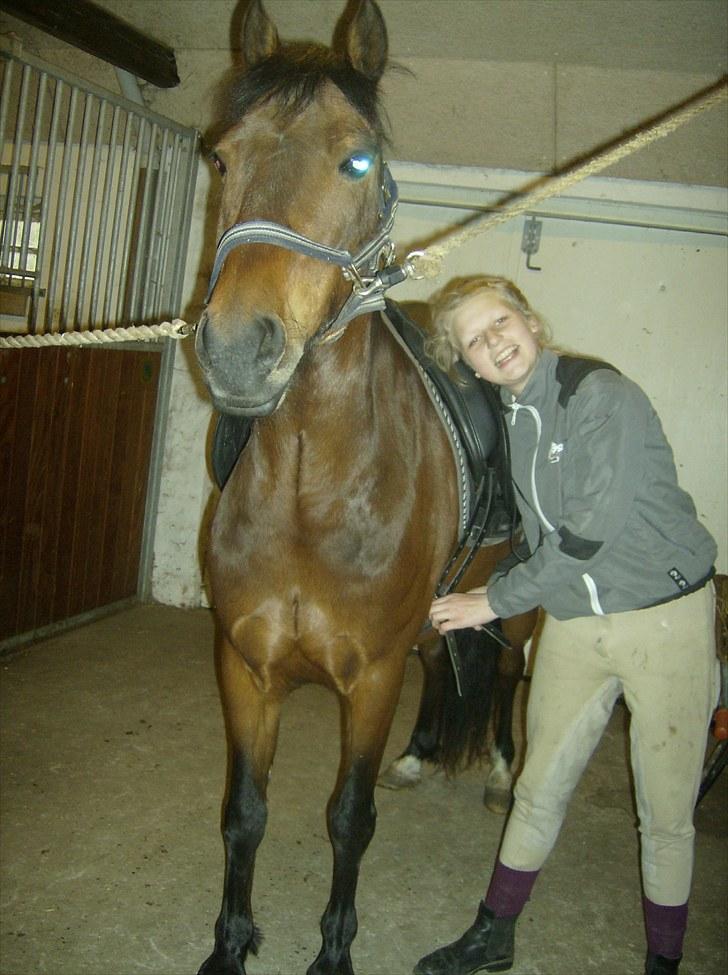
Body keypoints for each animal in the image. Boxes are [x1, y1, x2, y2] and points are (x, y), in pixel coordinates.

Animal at [193, 2, 536, 973]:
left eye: (357, 159)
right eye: (221, 156)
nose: (238, 350)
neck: (314, 493)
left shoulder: (371, 678)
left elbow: (349, 819)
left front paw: (334, 951)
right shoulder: (245, 670)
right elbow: (244, 814)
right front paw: (231, 943)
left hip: (516, 617)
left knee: (505, 676)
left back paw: (502, 770)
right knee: (444, 665)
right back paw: (420, 756)